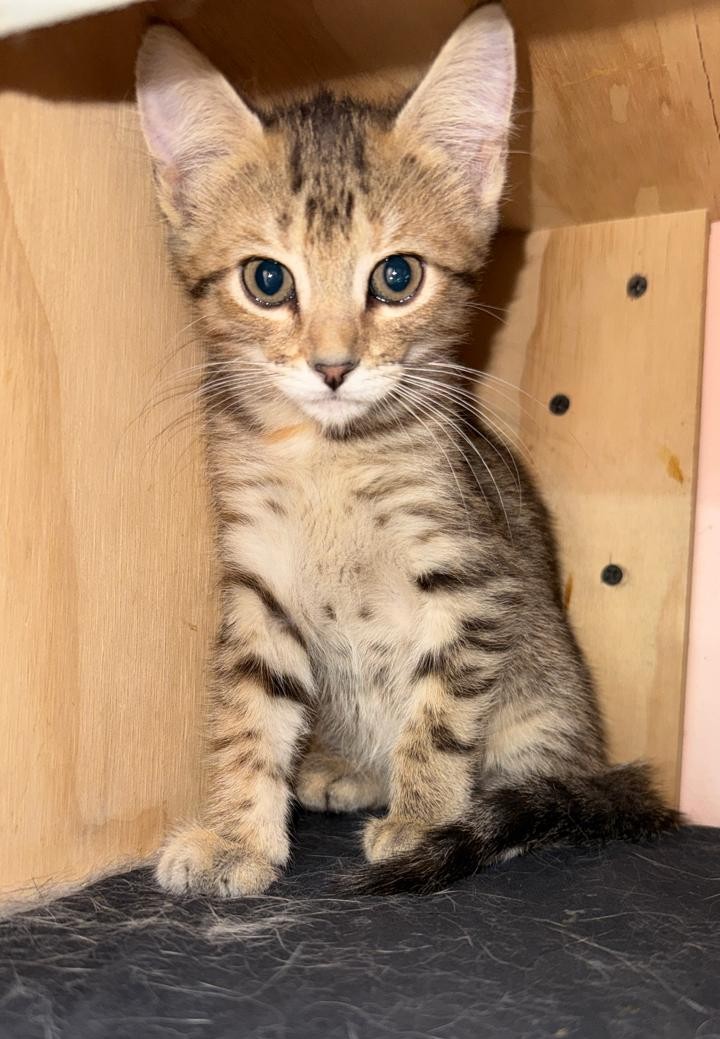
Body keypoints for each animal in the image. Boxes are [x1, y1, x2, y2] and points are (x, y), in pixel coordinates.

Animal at [135, 4, 678, 897]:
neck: (329, 460)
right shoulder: (259, 580)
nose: (332, 366)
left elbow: (440, 712)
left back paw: (498, 807)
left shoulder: (470, 577)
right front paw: (239, 835)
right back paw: (350, 770)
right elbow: (248, 710)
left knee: (547, 783)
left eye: (397, 276)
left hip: (546, 701)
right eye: (267, 280)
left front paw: (426, 818)